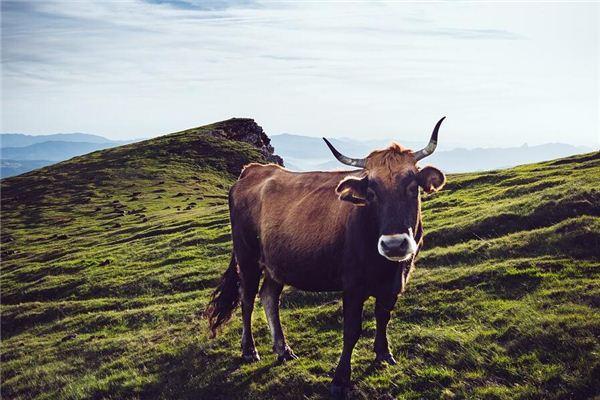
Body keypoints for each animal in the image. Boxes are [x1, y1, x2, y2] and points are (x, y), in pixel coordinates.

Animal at [205, 117, 446, 398]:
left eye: (412, 186)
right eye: (371, 191)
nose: (394, 244)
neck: (385, 267)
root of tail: (253, 170)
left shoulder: (395, 282)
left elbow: (383, 317)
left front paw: (384, 355)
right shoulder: (352, 286)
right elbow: (351, 330)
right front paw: (340, 378)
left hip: (276, 263)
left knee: (268, 297)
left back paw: (283, 350)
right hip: (247, 257)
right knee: (247, 300)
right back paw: (249, 350)